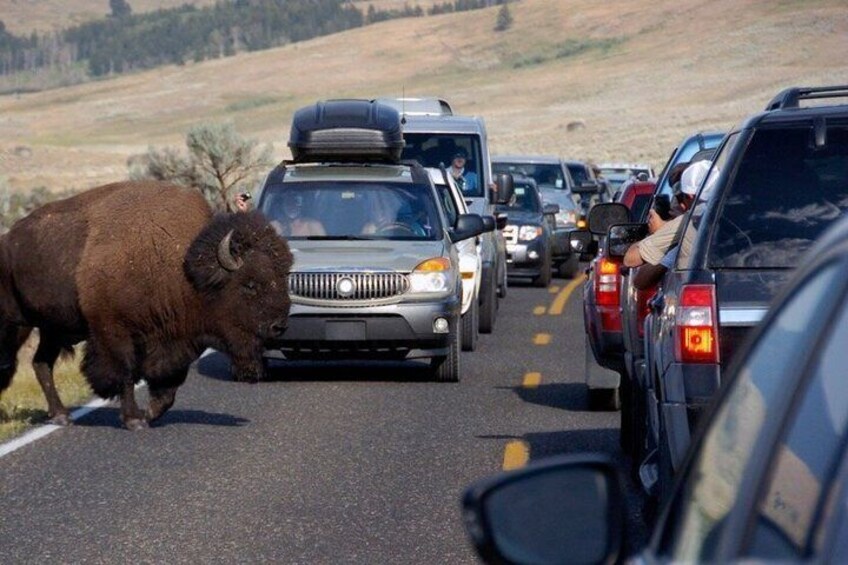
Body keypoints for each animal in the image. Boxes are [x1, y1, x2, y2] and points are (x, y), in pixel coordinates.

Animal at [0, 181, 292, 430]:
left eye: (282, 277)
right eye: (250, 284)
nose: (279, 326)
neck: (182, 268)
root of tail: (8, 239)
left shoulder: (175, 341)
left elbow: (168, 388)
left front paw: (149, 414)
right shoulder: (113, 333)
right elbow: (126, 373)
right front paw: (134, 419)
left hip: (52, 329)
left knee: (41, 363)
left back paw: (61, 415)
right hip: (16, 325)